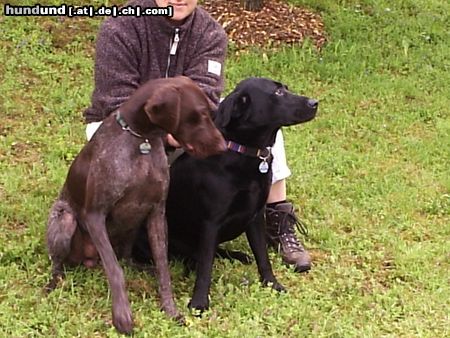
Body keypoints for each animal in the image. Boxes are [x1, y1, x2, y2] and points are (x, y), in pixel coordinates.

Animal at [45, 76, 225, 332]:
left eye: (210, 113)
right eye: (198, 115)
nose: (223, 147)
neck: (141, 139)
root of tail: (89, 259)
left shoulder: (157, 212)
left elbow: (162, 268)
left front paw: (170, 309)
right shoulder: (95, 215)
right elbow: (115, 271)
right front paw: (122, 315)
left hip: (135, 221)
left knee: (127, 258)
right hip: (65, 219)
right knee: (60, 262)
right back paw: (53, 282)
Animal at [132, 76, 318, 312]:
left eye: (285, 88)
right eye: (277, 93)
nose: (314, 103)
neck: (243, 152)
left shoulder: (255, 216)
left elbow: (262, 256)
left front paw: (272, 284)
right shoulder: (211, 222)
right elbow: (206, 268)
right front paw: (199, 302)